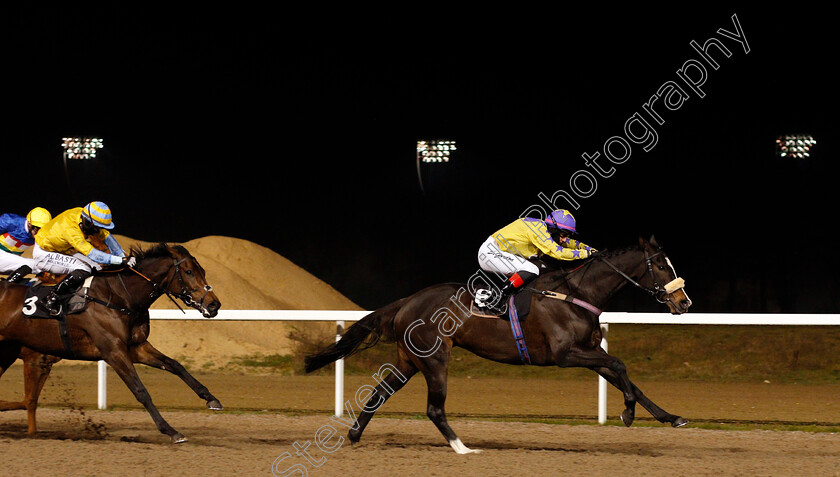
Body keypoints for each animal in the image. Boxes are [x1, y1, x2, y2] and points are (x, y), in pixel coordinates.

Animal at [0, 244, 223, 440]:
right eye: (188, 272)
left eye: (202, 270)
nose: (214, 304)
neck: (119, 298)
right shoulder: (113, 352)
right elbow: (141, 391)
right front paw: (170, 431)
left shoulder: (136, 347)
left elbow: (175, 365)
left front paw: (211, 399)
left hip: (8, 350)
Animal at [306, 236, 692, 452]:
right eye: (661, 266)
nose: (684, 302)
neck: (575, 293)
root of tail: (406, 301)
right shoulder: (566, 354)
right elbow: (620, 367)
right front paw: (627, 413)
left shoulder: (590, 352)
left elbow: (628, 379)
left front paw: (671, 417)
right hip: (435, 358)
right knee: (433, 408)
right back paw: (463, 449)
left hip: (409, 359)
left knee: (380, 393)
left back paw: (355, 435)